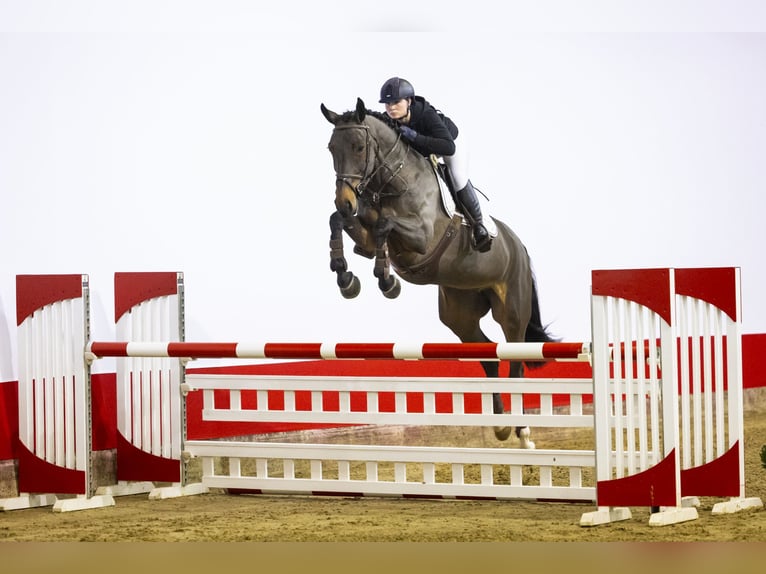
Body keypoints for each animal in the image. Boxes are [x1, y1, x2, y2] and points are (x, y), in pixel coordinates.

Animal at [320, 98, 556, 446]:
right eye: (331, 148)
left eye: (360, 147)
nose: (345, 200)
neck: (393, 181)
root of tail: (520, 247)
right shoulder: (362, 229)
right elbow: (338, 221)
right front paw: (346, 278)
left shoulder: (421, 236)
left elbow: (384, 225)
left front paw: (386, 280)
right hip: (460, 313)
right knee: (488, 356)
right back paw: (500, 425)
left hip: (511, 310)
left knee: (513, 358)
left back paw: (522, 429)